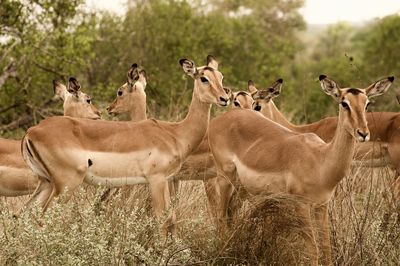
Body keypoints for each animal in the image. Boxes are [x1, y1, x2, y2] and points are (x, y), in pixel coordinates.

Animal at [20, 54, 230, 231]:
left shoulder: (166, 180)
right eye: (203, 78)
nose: (225, 98)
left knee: (23, 214)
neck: (174, 133)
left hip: (46, 183)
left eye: (221, 77)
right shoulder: (156, 180)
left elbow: (171, 220)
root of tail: (31, 132)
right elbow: (162, 221)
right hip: (66, 185)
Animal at [208, 76, 392, 264]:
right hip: (225, 178)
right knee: (221, 215)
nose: (363, 133)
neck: (320, 160)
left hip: (242, 187)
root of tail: (220, 119)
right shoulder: (301, 205)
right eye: (344, 103)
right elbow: (313, 249)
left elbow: (326, 248)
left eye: (367, 103)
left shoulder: (322, 205)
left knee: (231, 211)